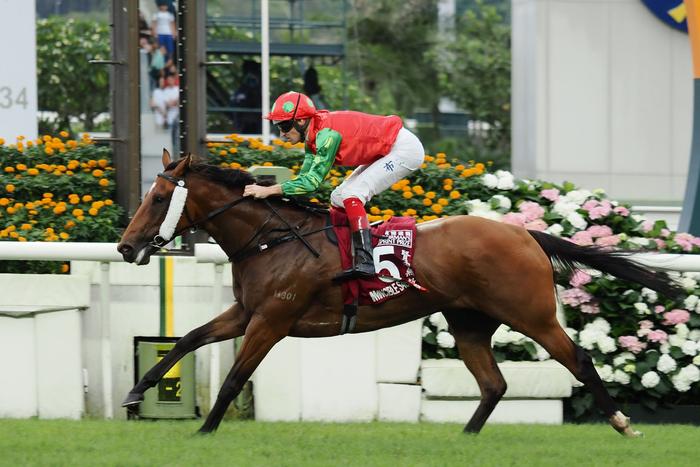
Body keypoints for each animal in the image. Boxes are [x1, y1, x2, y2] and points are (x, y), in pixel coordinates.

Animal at [117, 150, 683, 435]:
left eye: (160, 197)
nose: (125, 246)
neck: (272, 238)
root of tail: (525, 234)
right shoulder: (246, 311)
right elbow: (189, 338)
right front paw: (136, 392)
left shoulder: (272, 321)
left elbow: (235, 377)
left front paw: (204, 432)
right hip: (469, 322)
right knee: (494, 384)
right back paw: (465, 440)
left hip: (533, 315)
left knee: (579, 361)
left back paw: (622, 422)